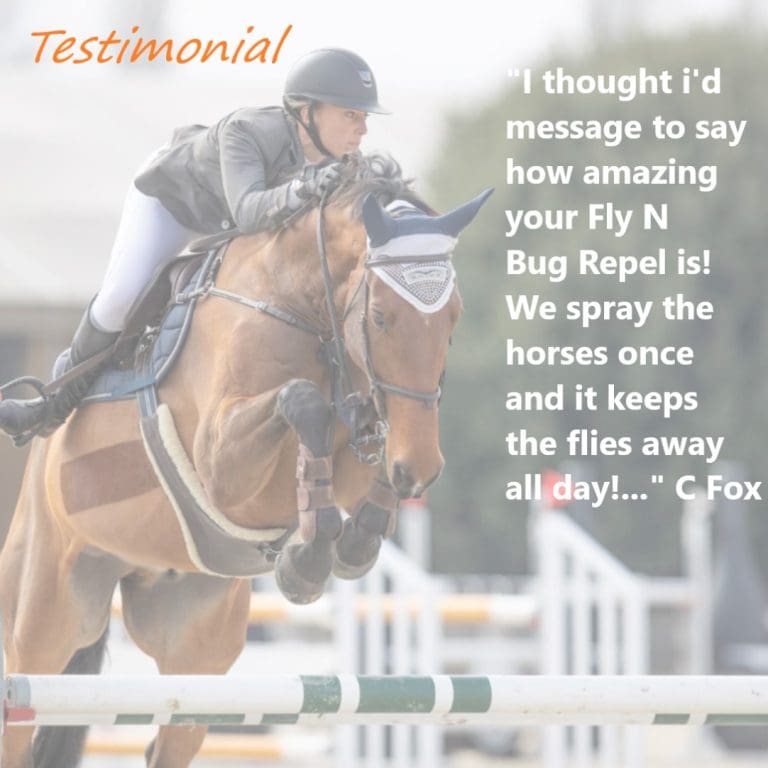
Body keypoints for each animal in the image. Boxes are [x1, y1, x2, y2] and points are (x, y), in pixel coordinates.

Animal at [0, 154, 491, 768]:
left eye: (453, 317)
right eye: (380, 317)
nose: (421, 468)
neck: (303, 307)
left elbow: (366, 448)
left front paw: (349, 543)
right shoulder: (222, 466)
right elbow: (303, 402)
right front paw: (308, 558)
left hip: (197, 650)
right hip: (43, 621)